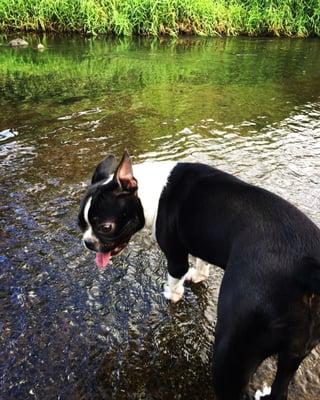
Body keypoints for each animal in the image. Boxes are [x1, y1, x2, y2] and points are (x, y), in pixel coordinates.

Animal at [78, 151, 320, 400]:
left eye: (105, 227)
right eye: (81, 224)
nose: (87, 242)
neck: (148, 193)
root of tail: (306, 268)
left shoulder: (175, 256)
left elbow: (175, 276)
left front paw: (172, 294)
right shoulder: (199, 240)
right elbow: (201, 261)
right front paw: (199, 275)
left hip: (232, 351)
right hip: (294, 354)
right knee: (281, 388)